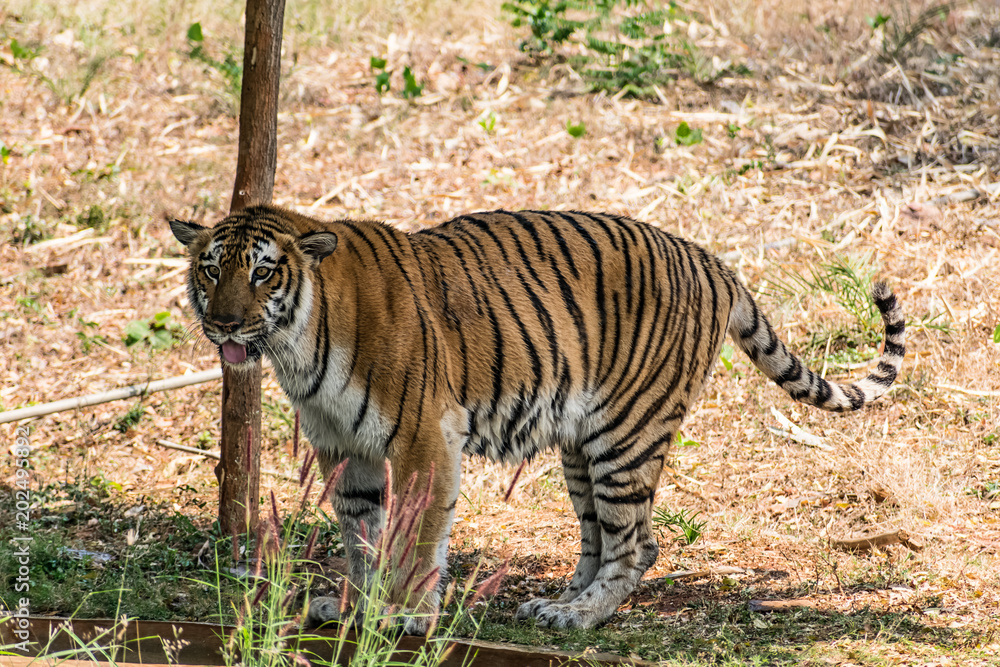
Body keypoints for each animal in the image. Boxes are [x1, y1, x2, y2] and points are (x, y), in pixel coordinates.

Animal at [169, 204, 905, 632]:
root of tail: (711, 259)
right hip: (581, 443)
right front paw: (356, 603)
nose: (224, 322)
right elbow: (362, 534)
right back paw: (553, 597)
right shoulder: (342, 446)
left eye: (263, 273)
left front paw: (407, 613)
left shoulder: (423, 436)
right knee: (601, 536)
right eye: (210, 269)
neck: (297, 341)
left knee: (638, 542)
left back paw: (577, 616)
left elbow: (417, 532)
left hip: (625, 436)